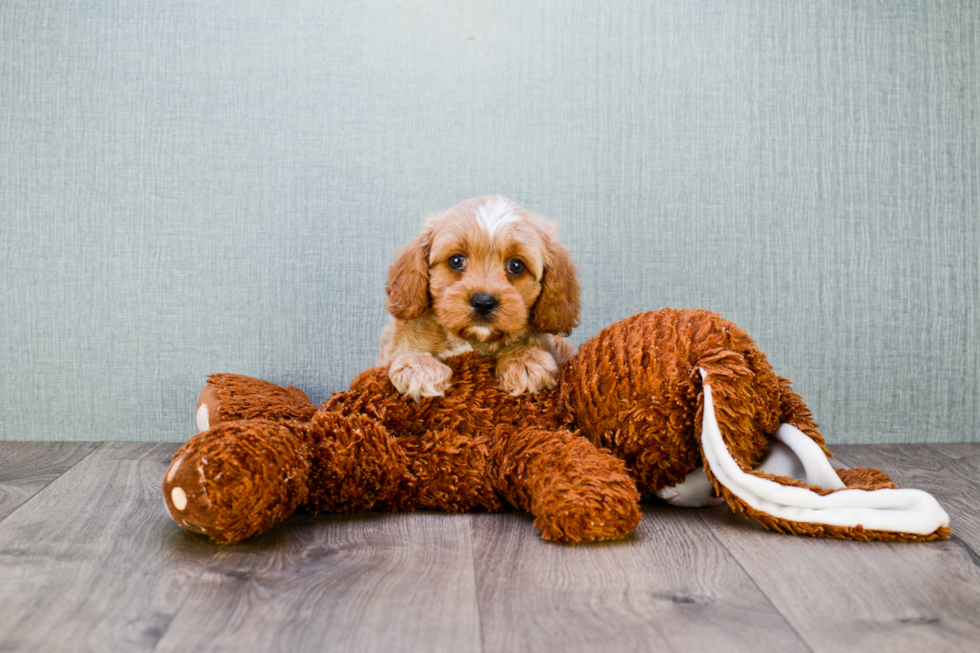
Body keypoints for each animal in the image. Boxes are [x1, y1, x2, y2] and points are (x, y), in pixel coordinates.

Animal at [378, 194, 580, 400]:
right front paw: (419, 367)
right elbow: (406, 351)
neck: (473, 340)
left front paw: (526, 361)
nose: (483, 302)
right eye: (456, 260)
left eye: (516, 265)